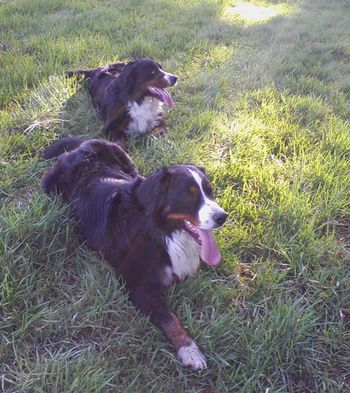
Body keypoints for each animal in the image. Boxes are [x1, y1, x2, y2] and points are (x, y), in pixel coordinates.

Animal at [41, 136, 227, 370]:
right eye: (189, 195)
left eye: (209, 191)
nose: (222, 216)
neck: (162, 231)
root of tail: (86, 145)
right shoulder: (137, 284)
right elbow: (169, 318)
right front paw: (188, 349)